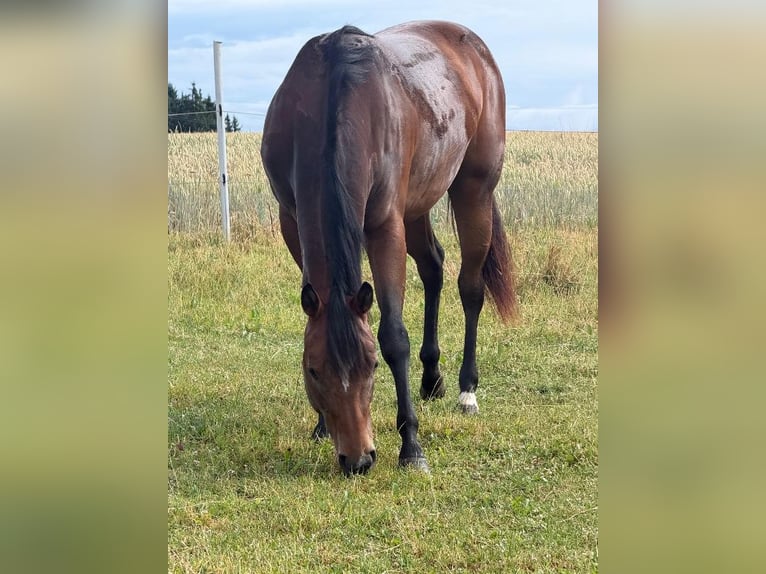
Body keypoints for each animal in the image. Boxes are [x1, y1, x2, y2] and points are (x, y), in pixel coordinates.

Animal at [261, 20, 516, 476]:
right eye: (313, 370)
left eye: (372, 366)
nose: (358, 459)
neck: (333, 93)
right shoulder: (291, 220)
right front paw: (320, 425)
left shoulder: (384, 226)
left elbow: (394, 335)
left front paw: (411, 446)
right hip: (417, 205)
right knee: (433, 267)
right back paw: (431, 378)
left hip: (474, 192)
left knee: (470, 287)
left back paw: (466, 390)